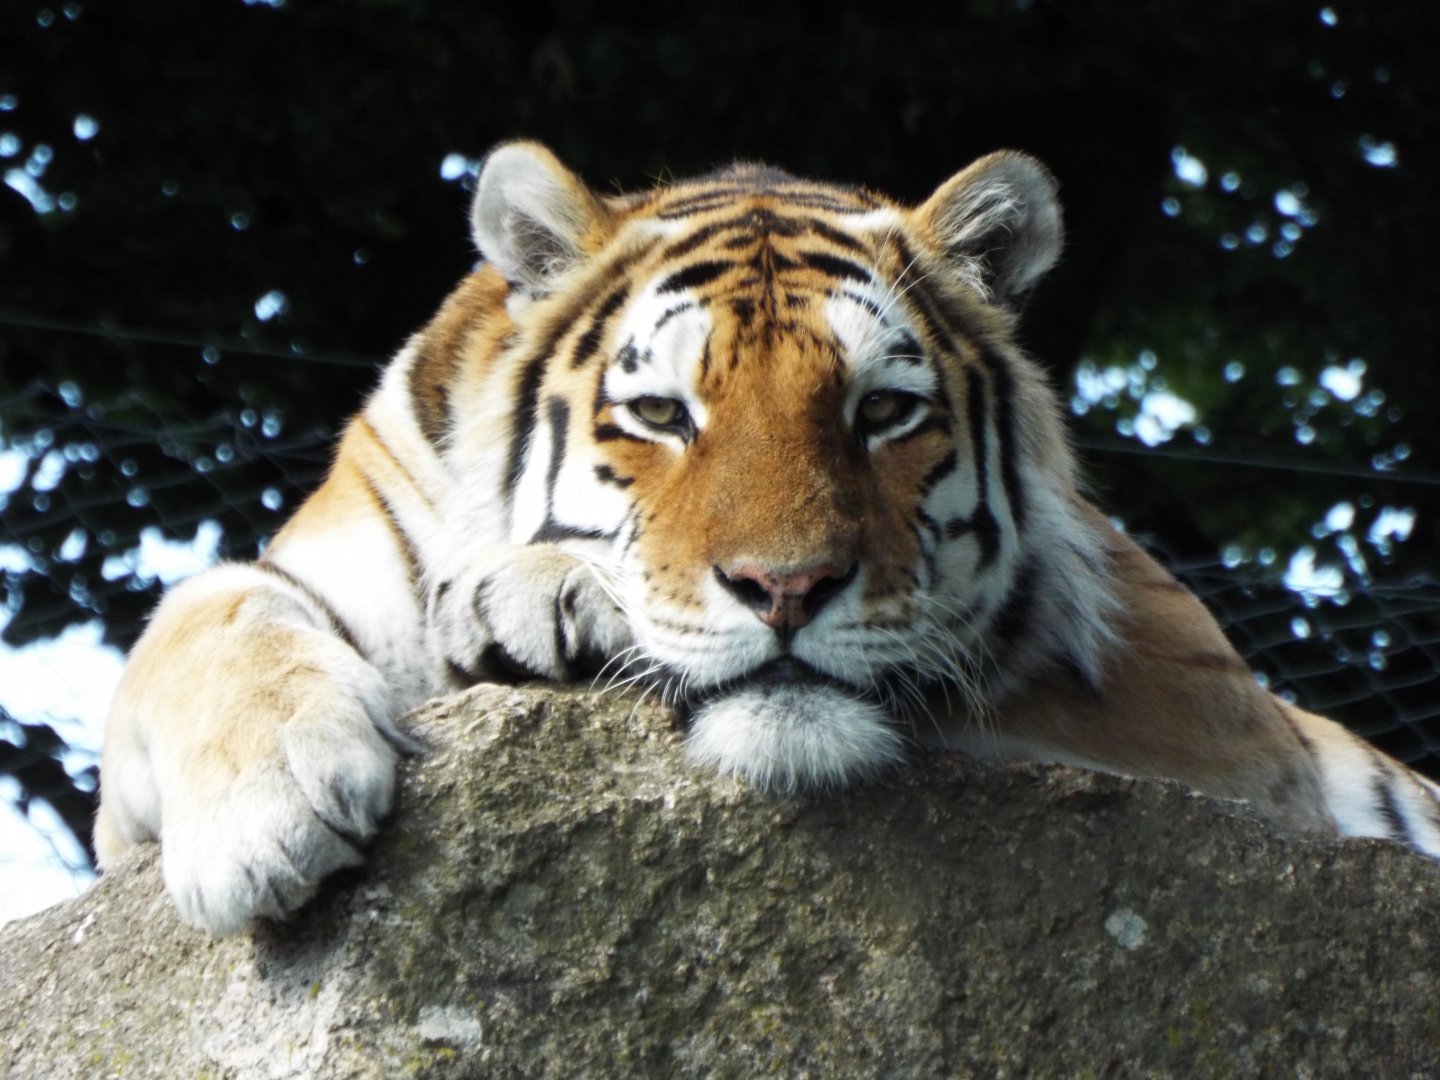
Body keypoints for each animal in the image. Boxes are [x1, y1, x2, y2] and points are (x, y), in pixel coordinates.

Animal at [96, 141, 1440, 936]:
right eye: (659, 415)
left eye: (883, 412)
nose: (784, 589)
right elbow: (203, 613)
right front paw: (268, 821)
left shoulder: (1212, 704)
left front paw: (526, 591)